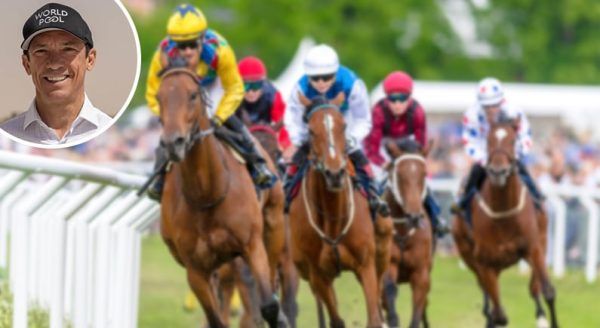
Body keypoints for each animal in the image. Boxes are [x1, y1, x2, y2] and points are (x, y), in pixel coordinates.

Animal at [157, 67, 286, 328]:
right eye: (159, 98)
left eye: (193, 95)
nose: (173, 143)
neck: (207, 192)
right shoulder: (196, 269)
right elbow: (216, 319)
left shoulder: (251, 246)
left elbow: (269, 305)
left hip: (273, 226)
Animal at [288, 104, 392, 328]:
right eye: (311, 131)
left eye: (343, 126)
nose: (334, 174)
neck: (333, 217)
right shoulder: (317, 272)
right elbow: (336, 319)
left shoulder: (366, 264)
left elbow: (374, 317)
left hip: (381, 252)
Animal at [382, 139, 434, 328]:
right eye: (398, 174)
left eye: (424, 174)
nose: (414, 216)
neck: (404, 232)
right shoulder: (388, 265)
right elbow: (389, 292)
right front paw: (392, 319)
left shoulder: (421, 273)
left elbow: (418, 312)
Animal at [452, 120, 560, 328]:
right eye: (488, 141)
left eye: (512, 140)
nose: (497, 171)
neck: (503, 214)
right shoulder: (485, 263)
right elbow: (499, 315)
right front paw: (493, 316)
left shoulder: (533, 247)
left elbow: (548, 291)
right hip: (469, 256)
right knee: (489, 300)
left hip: (540, 242)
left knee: (534, 288)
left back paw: (540, 316)